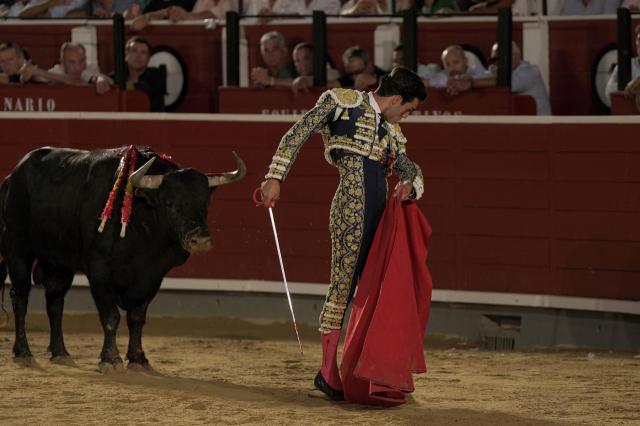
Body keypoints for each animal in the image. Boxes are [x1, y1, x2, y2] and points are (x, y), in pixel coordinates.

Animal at [0, 147, 245, 370]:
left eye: (206, 203)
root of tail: (12, 177)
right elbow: (111, 316)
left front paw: (138, 359)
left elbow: (137, 318)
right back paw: (23, 352)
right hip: (17, 250)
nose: (201, 239)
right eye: (170, 204)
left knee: (55, 301)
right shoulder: (99, 272)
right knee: (20, 298)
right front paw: (110, 359)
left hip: (60, 261)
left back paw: (60, 352)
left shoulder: (152, 277)